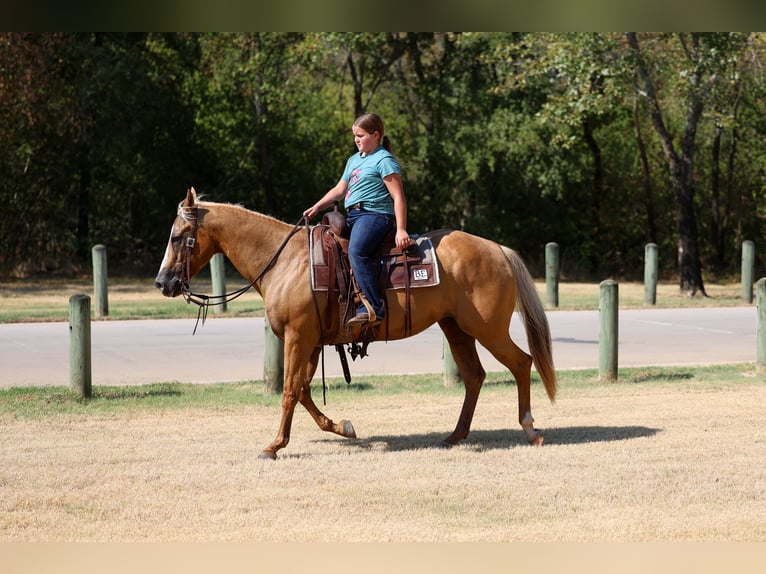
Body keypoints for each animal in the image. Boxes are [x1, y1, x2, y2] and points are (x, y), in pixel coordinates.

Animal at [155, 187, 557, 459]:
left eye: (176, 237)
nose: (162, 283)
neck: (286, 261)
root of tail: (498, 249)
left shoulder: (298, 338)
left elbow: (289, 391)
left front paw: (273, 446)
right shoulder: (311, 341)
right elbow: (303, 391)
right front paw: (342, 428)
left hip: (488, 328)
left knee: (521, 363)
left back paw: (530, 429)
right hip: (456, 328)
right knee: (474, 377)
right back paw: (455, 436)